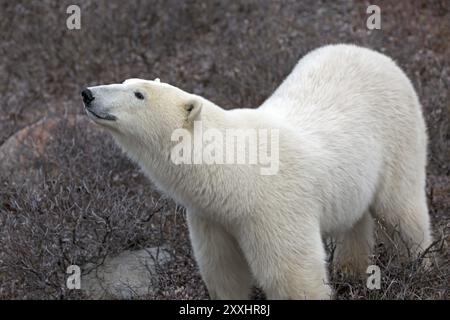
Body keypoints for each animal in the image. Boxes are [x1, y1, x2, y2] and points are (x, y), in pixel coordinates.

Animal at [81, 43, 432, 298]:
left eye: (138, 94)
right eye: (126, 81)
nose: (88, 93)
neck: (233, 172)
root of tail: (376, 55)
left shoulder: (273, 206)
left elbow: (292, 273)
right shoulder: (211, 216)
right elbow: (222, 270)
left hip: (397, 137)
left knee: (401, 209)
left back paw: (419, 265)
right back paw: (351, 271)